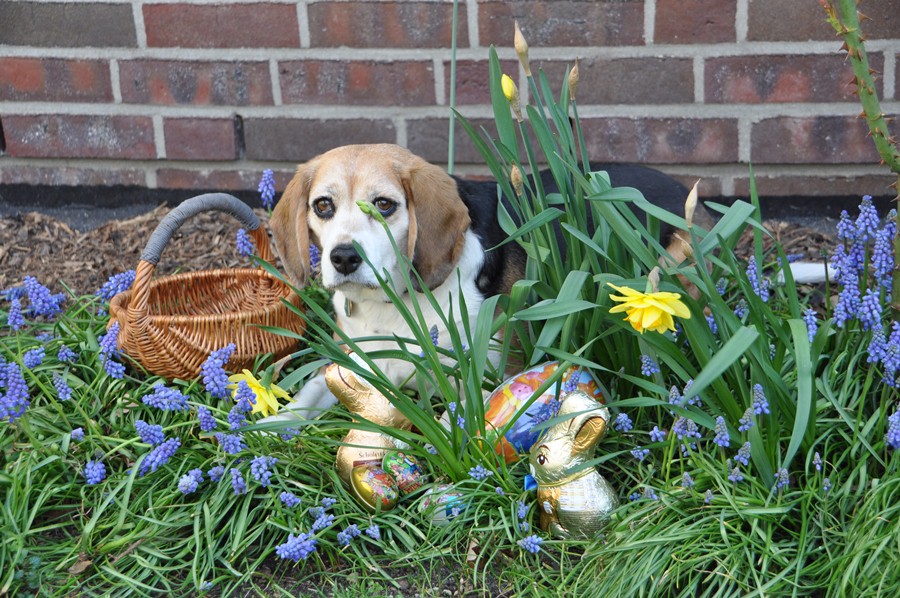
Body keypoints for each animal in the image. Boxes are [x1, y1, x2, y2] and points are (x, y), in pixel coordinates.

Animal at [268, 143, 696, 420]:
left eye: (384, 205)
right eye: (323, 205)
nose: (343, 257)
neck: (397, 303)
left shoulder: (489, 380)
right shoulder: (347, 361)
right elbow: (307, 394)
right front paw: (265, 431)